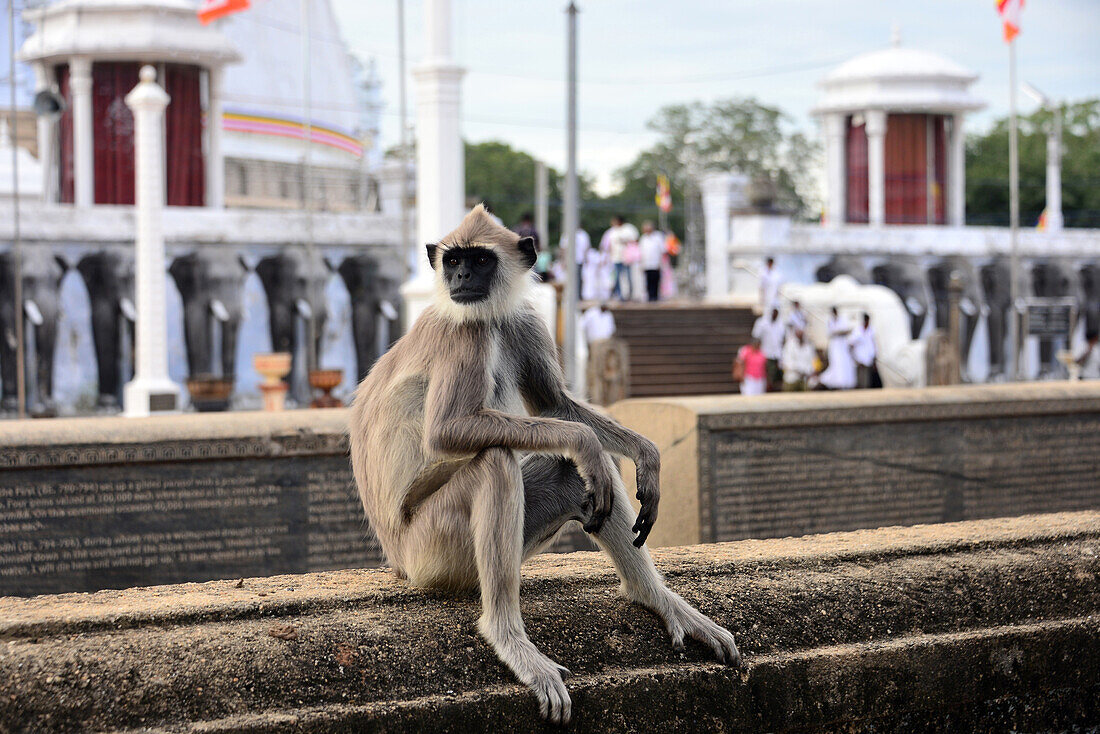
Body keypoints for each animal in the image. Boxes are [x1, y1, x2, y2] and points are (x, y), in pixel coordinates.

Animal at [347, 205, 739, 721]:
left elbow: (556, 404)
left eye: (479, 259)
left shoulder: (523, 319)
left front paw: (646, 455)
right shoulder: (464, 333)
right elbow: (448, 431)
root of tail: (398, 562)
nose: (461, 277)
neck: (487, 315)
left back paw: (655, 597)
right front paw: (586, 440)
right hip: (431, 551)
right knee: (497, 462)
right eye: (453, 260)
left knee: (581, 479)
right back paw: (507, 635)